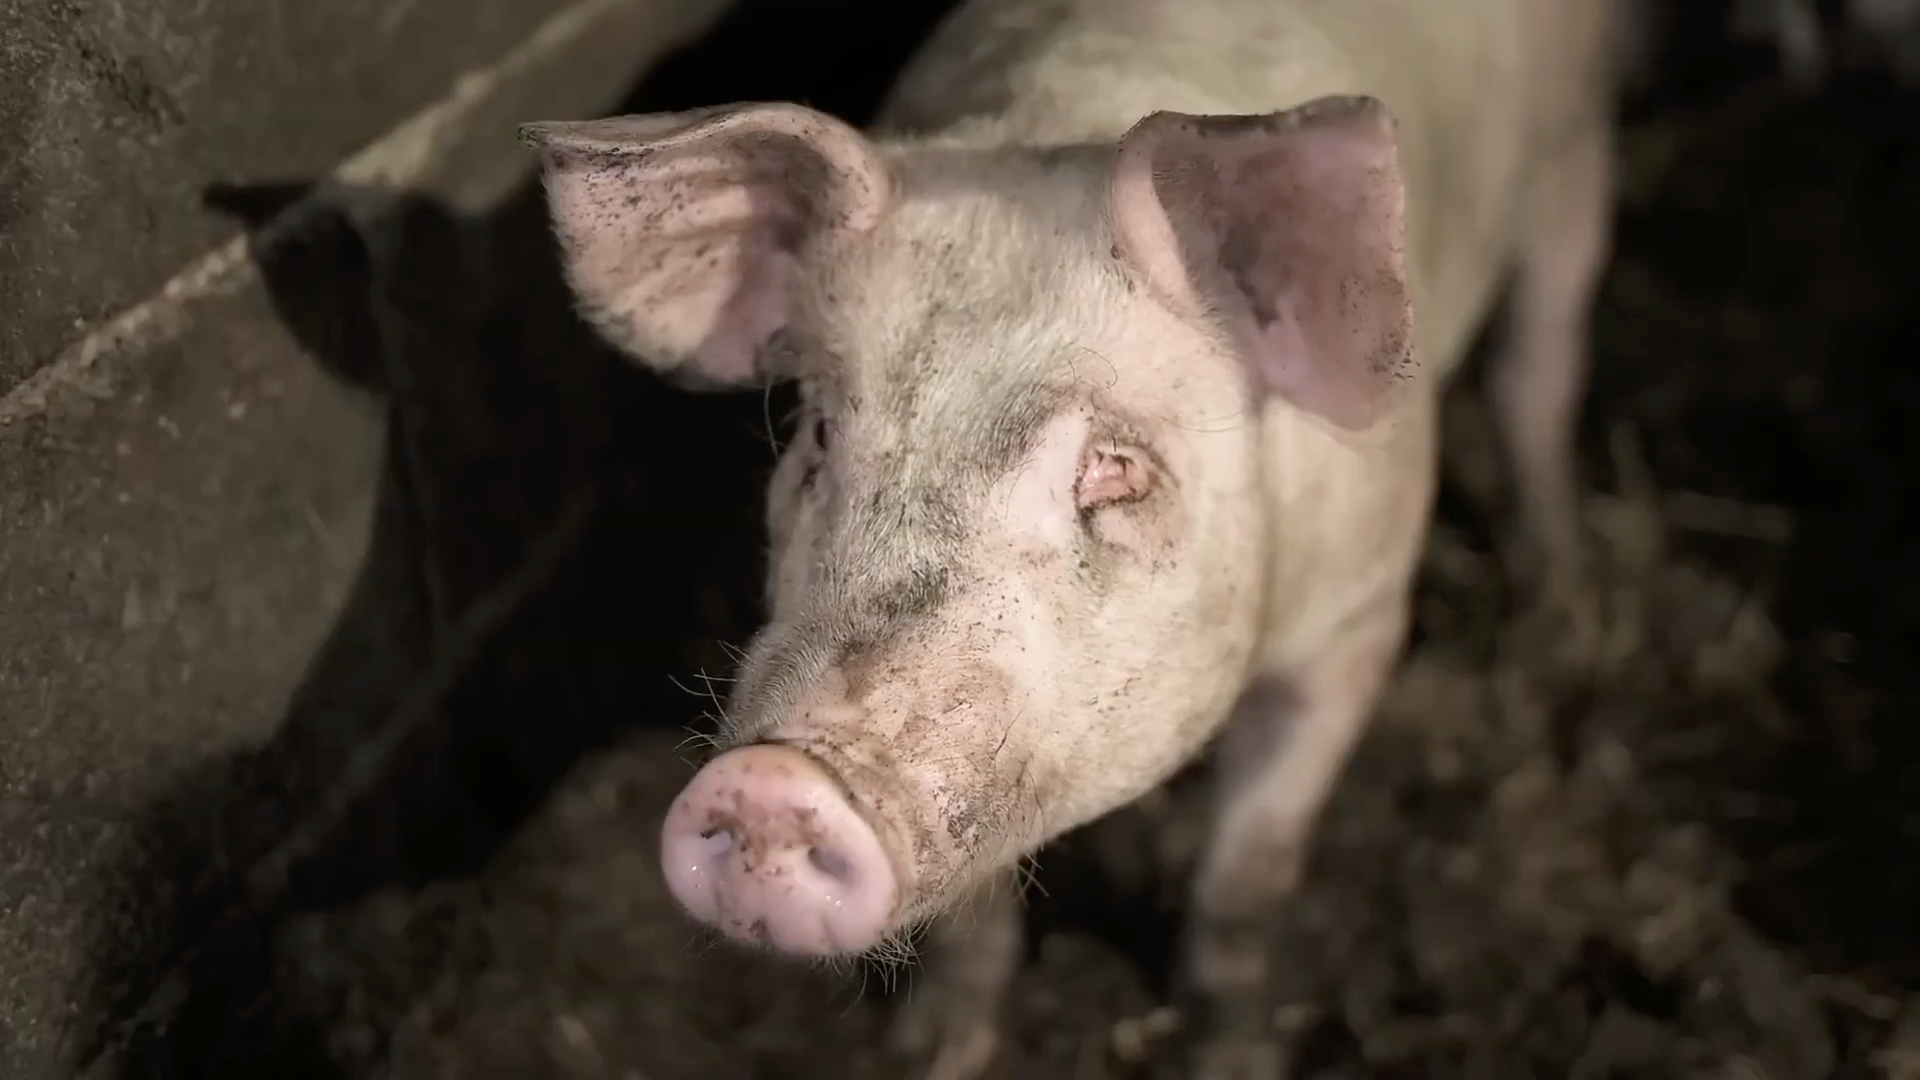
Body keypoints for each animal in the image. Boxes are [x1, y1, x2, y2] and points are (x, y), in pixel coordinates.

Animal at [520, 0, 1622, 1076]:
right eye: (821, 432)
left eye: (1116, 469)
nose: (775, 782)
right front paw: (941, 1056)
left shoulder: (1359, 618)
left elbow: (1245, 885)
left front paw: (1233, 1055)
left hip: (1571, 145)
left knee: (1542, 367)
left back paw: (1563, 606)